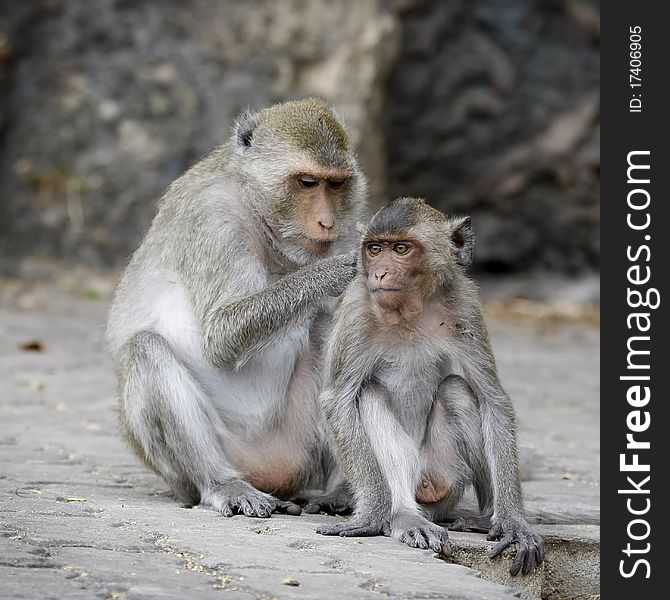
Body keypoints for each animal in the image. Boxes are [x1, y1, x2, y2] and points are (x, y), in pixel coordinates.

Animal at [106, 97, 368, 516]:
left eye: (336, 184)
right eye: (307, 182)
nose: (327, 222)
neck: (255, 210)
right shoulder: (212, 220)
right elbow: (220, 336)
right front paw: (335, 271)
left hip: (300, 445)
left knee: (328, 328)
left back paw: (341, 492)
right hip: (199, 467)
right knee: (146, 348)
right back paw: (223, 484)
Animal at [316, 198, 544, 576]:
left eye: (401, 249)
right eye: (375, 249)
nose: (379, 274)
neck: (409, 308)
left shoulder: (465, 305)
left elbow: (492, 398)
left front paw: (514, 522)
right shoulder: (357, 309)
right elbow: (339, 401)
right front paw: (372, 515)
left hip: (446, 480)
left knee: (456, 390)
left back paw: (484, 519)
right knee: (369, 394)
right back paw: (403, 515)